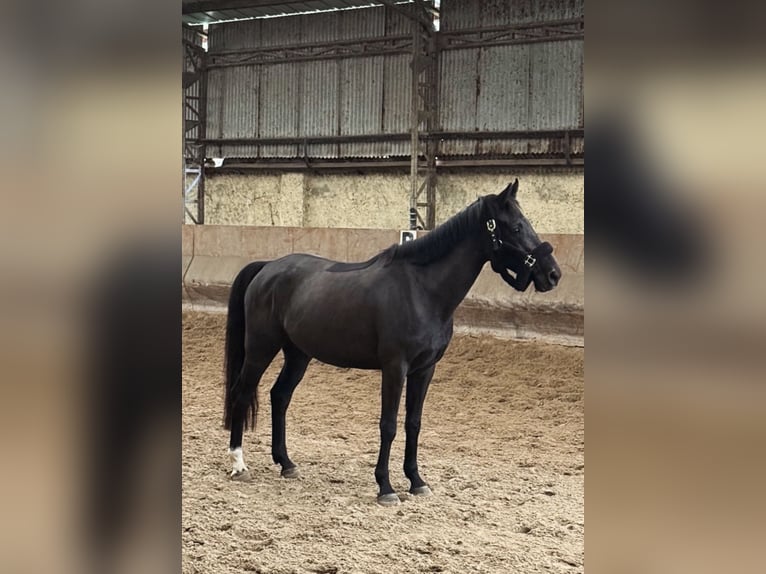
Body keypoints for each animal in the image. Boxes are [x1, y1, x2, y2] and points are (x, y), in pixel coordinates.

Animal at [222, 179, 561, 506]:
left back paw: (286, 463)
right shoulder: (395, 367)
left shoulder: (425, 369)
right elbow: (388, 425)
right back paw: (239, 464)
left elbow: (413, 423)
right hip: (261, 348)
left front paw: (416, 481)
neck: (421, 290)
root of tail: (267, 267)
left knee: (279, 396)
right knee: (242, 392)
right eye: (515, 227)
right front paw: (385, 487)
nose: (553, 274)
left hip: (298, 354)